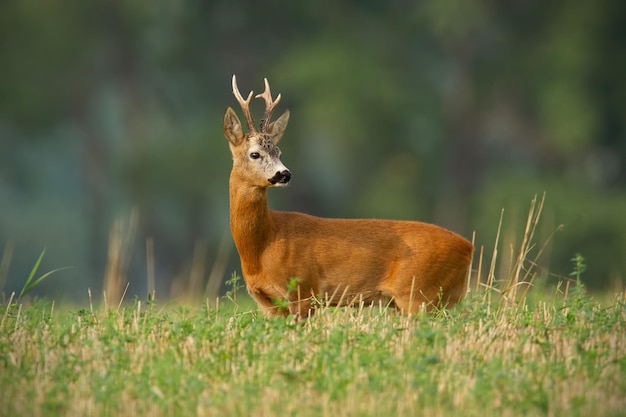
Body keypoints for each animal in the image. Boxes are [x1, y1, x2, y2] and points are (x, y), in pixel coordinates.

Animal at [222, 75, 470, 316]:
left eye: (278, 152)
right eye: (255, 154)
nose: (284, 174)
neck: (262, 245)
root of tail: (468, 247)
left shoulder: (304, 290)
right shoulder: (267, 303)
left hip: (419, 294)